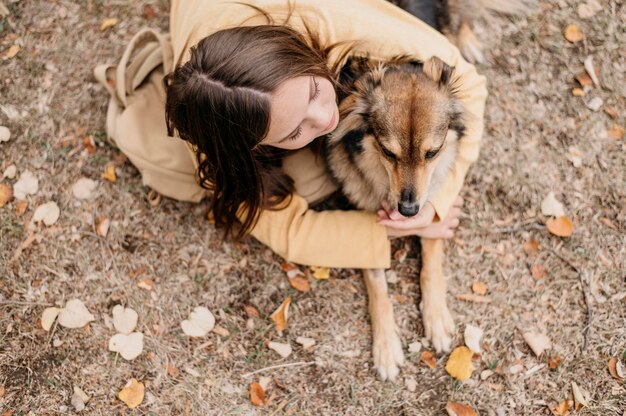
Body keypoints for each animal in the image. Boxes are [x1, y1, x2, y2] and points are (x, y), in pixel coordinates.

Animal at [324, 54, 466, 380]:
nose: (409, 210)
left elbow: (431, 262)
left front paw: (436, 316)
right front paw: (387, 348)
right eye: (388, 153)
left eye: (432, 153)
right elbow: (379, 290)